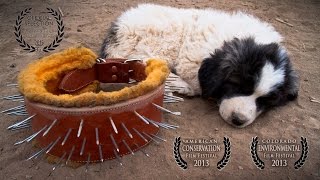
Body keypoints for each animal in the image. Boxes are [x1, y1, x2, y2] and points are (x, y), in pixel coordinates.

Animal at [99, 4, 298, 128]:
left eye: (267, 100)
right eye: (238, 85)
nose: (238, 120)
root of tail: (117, 30)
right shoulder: (192, 58)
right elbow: (197, 83)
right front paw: (184, 86)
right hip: (158, 43)